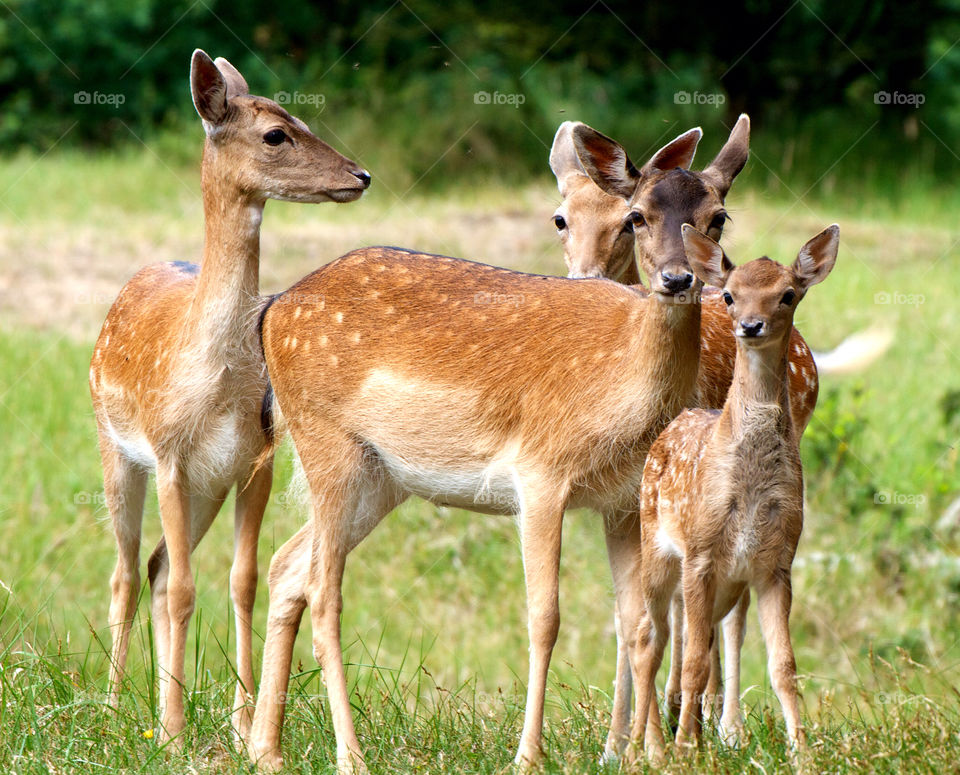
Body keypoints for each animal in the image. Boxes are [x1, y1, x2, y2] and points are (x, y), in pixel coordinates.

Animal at [90, 50, 370, 752]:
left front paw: (241, 724)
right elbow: (189, 588)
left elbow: (241, 582)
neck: (216, 380)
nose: (361, 174)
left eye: (304, 120)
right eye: (275, 134)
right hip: (115, 448)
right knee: (128, 572)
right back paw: (114, 707)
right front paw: (173, 734)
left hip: (206, 487)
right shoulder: (168, 455)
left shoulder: (254, 461)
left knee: (159, 567)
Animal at [240, 118, 752, 772]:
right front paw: (528, 755)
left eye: (718, 217)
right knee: (324, 591)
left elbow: (641, 623)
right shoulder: (540, 473)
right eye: (638, 215)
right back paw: (349, 755)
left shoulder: (624, 499)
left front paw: (651, 755)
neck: (623, 392)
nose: (678, 278)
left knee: (287, 566)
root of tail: (272, 310)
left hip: (380, 476)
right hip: (323, 438)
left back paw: (266, 750)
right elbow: (544, 617)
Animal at [628, 224, 836, 764]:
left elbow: (784, 666)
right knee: (648, 641)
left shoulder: (775, 561)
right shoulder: (700, 552)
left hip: (723, 584)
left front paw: (803, 754)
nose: (750, 325)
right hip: (657, 551)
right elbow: (695, 664)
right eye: (729, 295)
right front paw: (684, 751)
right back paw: (645, 749)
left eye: (788, 294)